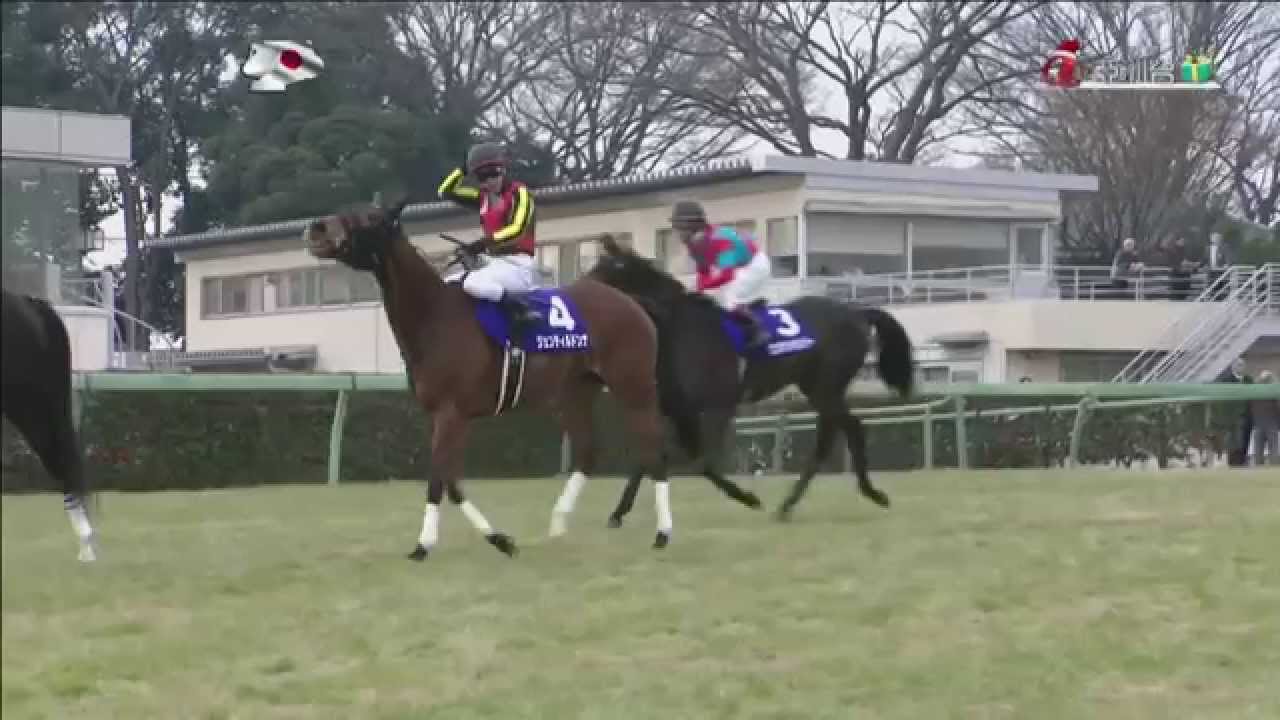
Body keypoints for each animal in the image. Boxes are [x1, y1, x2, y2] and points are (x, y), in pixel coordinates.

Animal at [303, 199, 674, 559]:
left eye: (370, 218)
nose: (317, 227)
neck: (435, 316)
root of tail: (631, 303)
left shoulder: (451, 413)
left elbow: (438, 480)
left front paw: (423, 545)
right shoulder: (444, 415)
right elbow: (452, 482)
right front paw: (499, 540)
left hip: (633, 385)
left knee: (654, 447)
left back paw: (662, 532)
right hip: (575, 392)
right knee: (588, 451)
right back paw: (558, 525)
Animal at [587, 235, 915, 522]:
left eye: (611, 267)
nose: (581, 288)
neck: (681, 331)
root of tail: (856, 312)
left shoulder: (718, 409)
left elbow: (699, 461)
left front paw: (748, 497)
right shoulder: (680, 413)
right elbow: (652, 458)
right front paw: (617, 513)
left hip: (827, 386)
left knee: (847, 430)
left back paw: (865, 494)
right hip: (817, 387)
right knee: (838, 433)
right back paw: (800, 503)